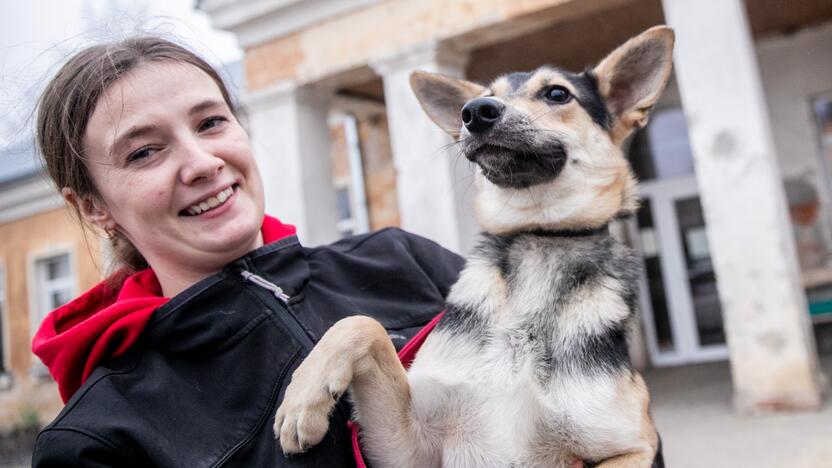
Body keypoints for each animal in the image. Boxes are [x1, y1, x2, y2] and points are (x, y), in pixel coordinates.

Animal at [274, 26, 676, 468]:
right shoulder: (409, 448)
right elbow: (361, 324)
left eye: (557, 94)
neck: (539, 235)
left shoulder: (637, 445)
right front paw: (302, 400)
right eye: (487, 94)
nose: (475, 111)